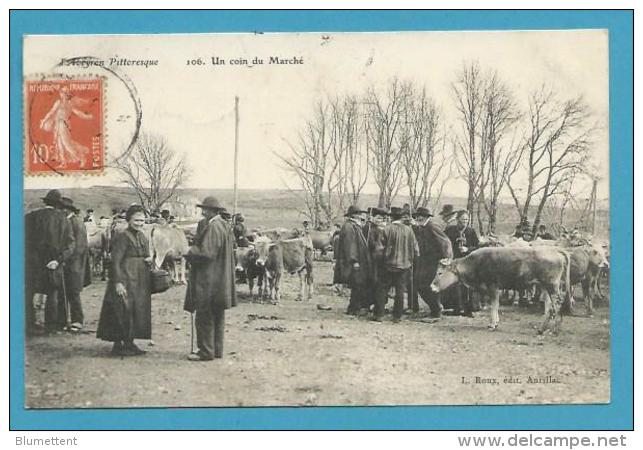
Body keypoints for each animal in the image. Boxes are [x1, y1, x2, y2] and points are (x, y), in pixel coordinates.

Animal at [430, 246, 572, 334]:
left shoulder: (492, 286)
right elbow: (496, 305)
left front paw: (492, 324)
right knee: (549, 308)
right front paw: (495, 322)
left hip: (551, 286)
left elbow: (494, 306)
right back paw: (543, 329)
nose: (431, 287)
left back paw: (554, 329)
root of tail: (554, 249)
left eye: (440, 273)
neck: (476, 263)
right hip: (545, 287)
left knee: (557, 305)